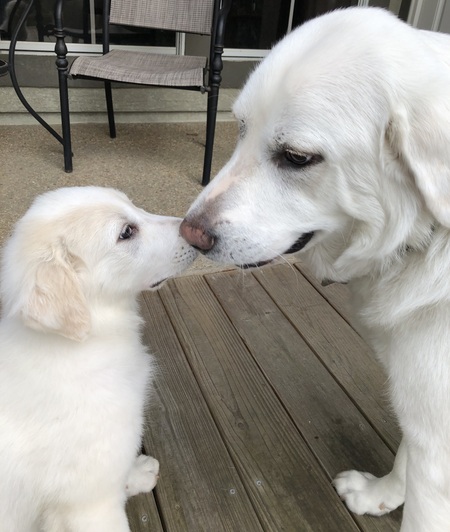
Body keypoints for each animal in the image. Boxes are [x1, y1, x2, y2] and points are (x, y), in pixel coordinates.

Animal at [0, 187, 197, 532]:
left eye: (134, 206)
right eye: (126, 232)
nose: (198, 233)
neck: (86, 342)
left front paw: (136, 474)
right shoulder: (91, 505)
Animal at [181, 8, 450, 532]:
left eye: (297, 158)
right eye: (239, 128)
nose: (189, 235)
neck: (429, 238)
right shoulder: (423, 402)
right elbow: (408, 453)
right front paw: (381, 495)